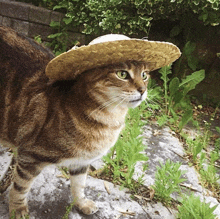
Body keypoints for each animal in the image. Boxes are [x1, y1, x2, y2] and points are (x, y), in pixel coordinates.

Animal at [0, 25, 150, 217]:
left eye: (145, 75)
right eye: (122, 74)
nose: (142, 90)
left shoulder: (82, 162)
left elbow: (79, 184)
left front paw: (82, 203)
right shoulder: (30, 156)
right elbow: (21, 187)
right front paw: (18, 210)